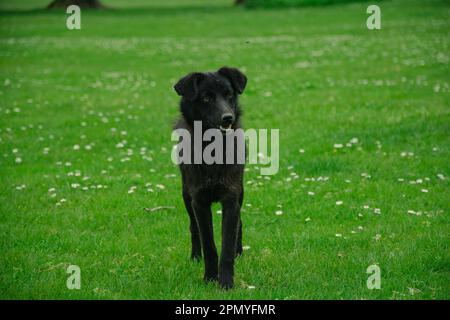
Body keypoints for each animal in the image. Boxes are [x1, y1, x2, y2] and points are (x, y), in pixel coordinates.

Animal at [174, 66, 248, 288]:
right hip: (186, 196)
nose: (228, 118)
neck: (213, 149)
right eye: (206, 98)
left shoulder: (232, 198)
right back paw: (195, 256)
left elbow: (227, 245)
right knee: (193, 228)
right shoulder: (199, 201)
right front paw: (209, 278)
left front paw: (226, 283)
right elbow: (209, 244)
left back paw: (239, 253)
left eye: (229, 95)